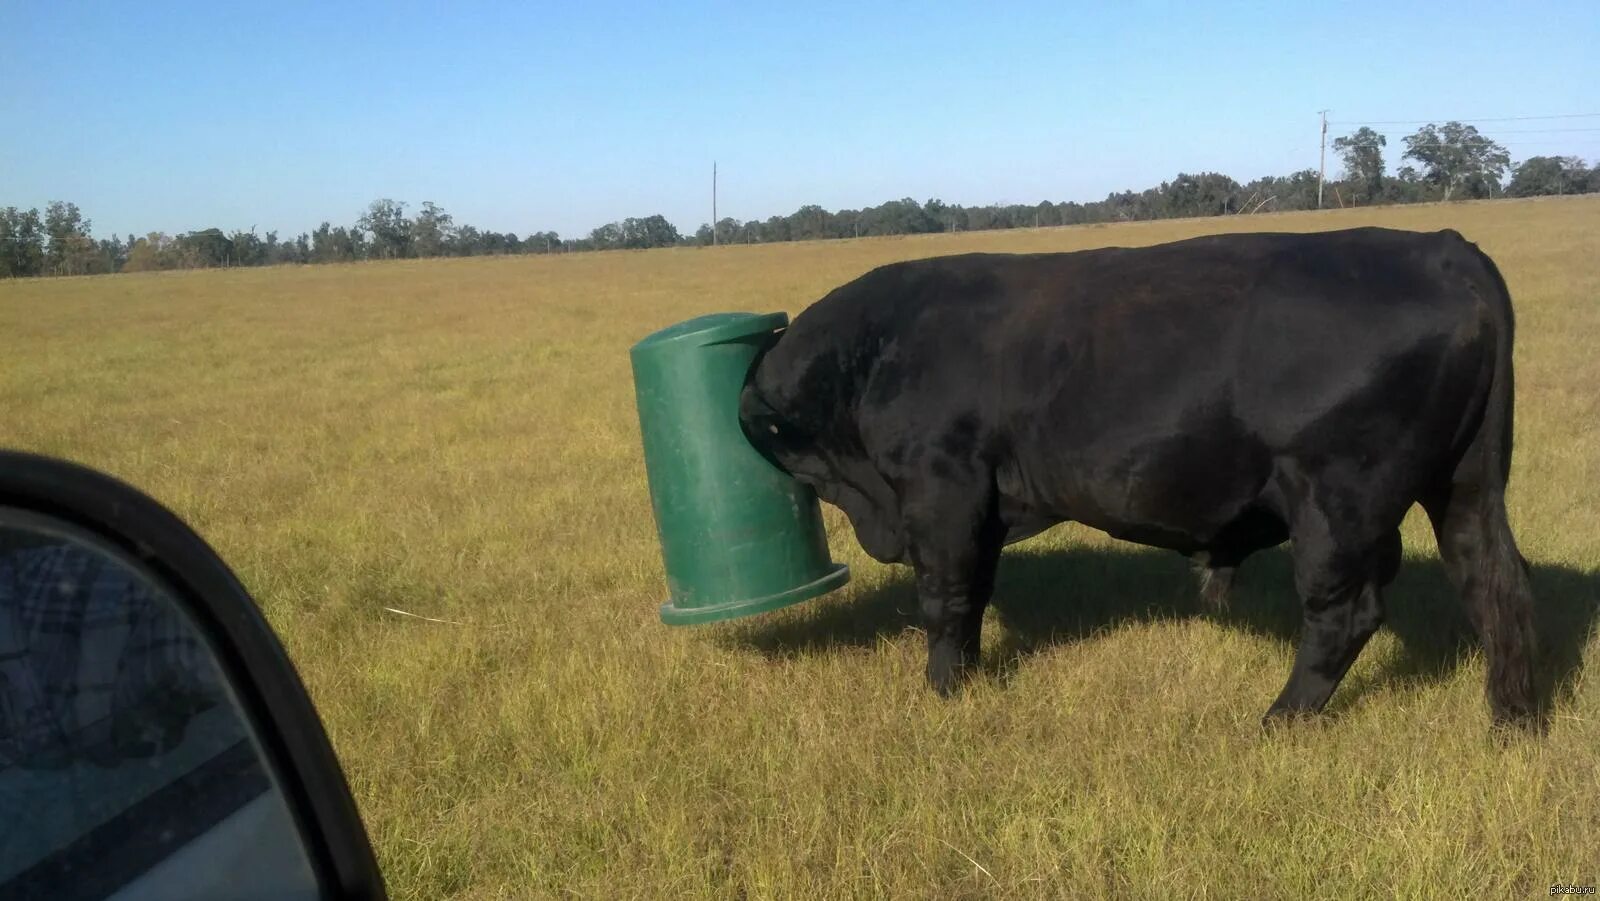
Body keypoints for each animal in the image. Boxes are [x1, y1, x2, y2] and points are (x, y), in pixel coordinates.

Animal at [742, 228, 1542, 729]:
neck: (880, 346)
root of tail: (1440, 248)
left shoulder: (942, 489)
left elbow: (947, 597)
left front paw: (941, 691)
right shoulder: (981, 507)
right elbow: (975, 594)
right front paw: (962, 679)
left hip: (1336, 503)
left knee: (1345, 615)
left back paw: (1279, 720)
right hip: (1465, 486)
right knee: (1494, 582)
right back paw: (1511, 720)